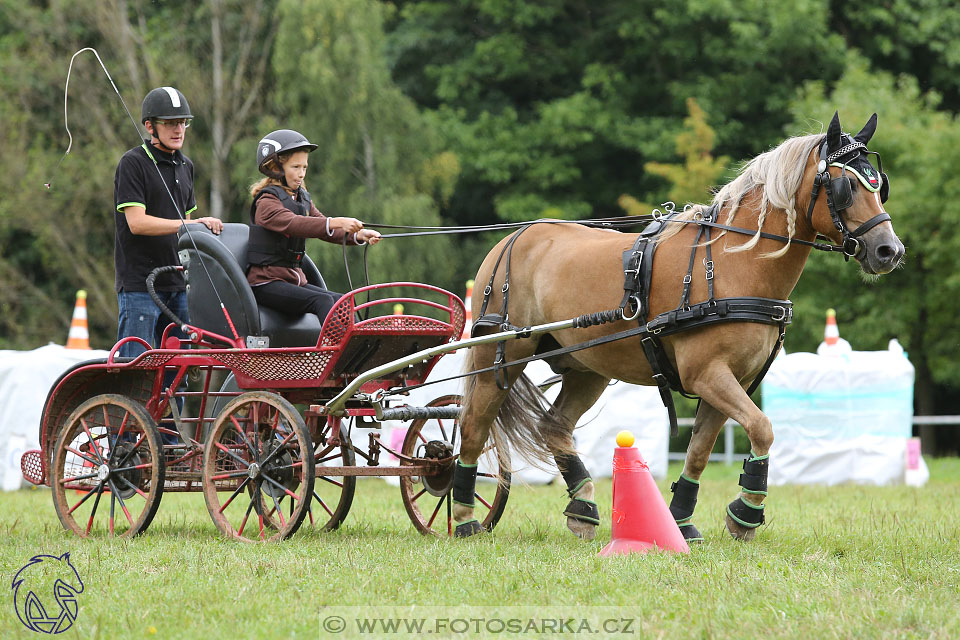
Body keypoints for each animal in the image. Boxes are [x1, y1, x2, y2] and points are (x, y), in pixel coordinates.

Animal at [450, 114, 900, 540]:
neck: (733, 264)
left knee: (553, 426)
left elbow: (700, 452)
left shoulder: (730, 380)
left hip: (587, 368)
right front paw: (746, 512)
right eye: (845, 187)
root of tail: (514, 238)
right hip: (499, 357)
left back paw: (582, 508)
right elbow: (762, 427)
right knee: (472, 428)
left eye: (879, 185)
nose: (889, 250)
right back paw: (464, 519)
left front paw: (684, 522)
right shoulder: (708, 374)